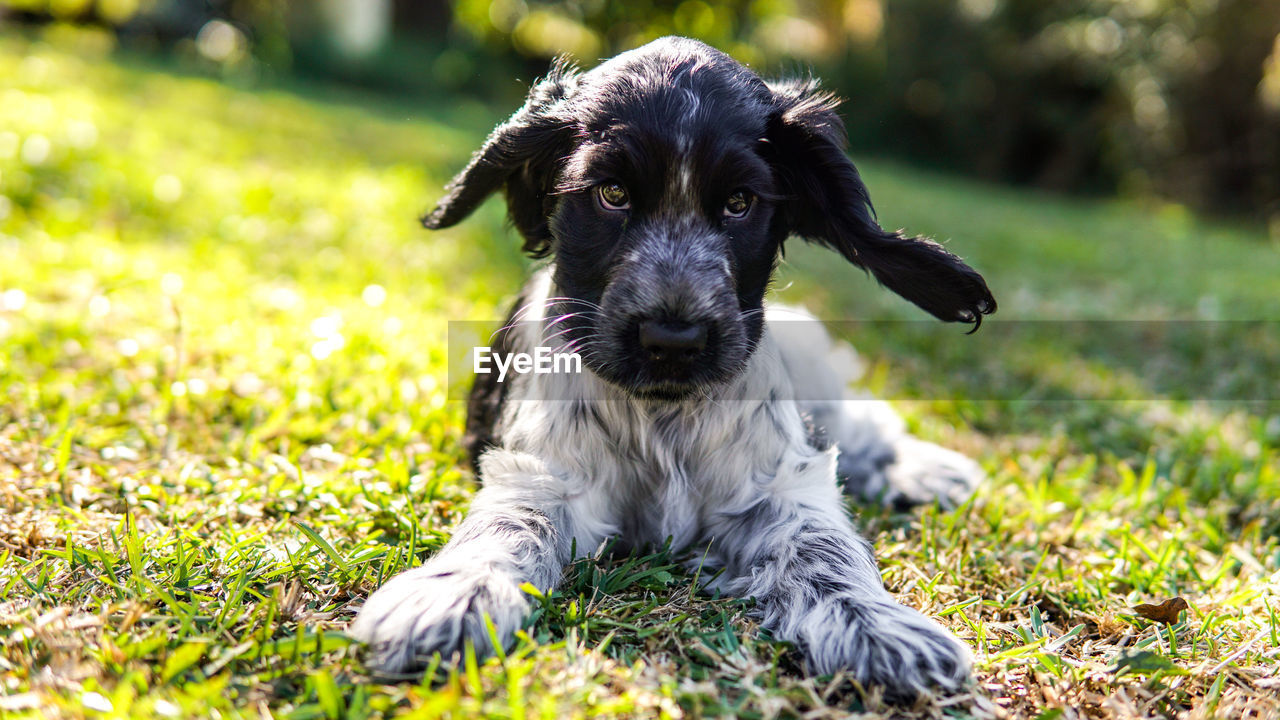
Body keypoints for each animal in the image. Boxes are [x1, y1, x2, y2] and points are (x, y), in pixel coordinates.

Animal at [353, 36, 998, 696]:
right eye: (611, 194)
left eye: (739, 204)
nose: (673, 338)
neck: (664, 414)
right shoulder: (545, 477)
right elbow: (508, 525)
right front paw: (454, 596)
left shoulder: (781, 483)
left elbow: (823, 544)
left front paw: (875, 624)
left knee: (862, 425)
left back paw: (928, 471)